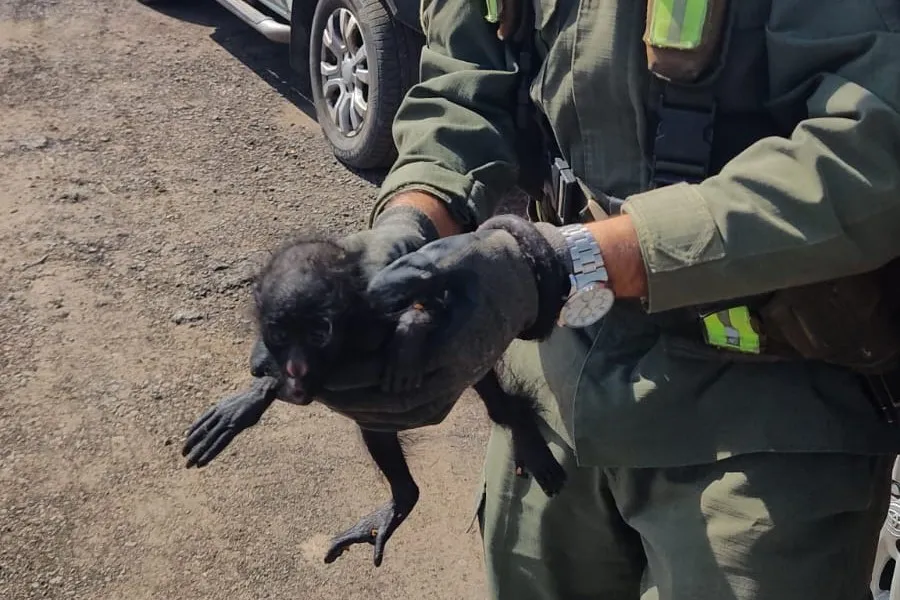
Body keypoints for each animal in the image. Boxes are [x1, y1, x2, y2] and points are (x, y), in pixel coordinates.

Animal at [179, 233, 568, 568]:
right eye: (280, 333)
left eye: (318, 333)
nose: (295, 365)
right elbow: (269, 371)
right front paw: (250, 399)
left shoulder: (376, 312)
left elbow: (433, 308)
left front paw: (409, 337)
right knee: (378, 433)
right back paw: (404, 497)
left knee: (494, 396)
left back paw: (520, 426)